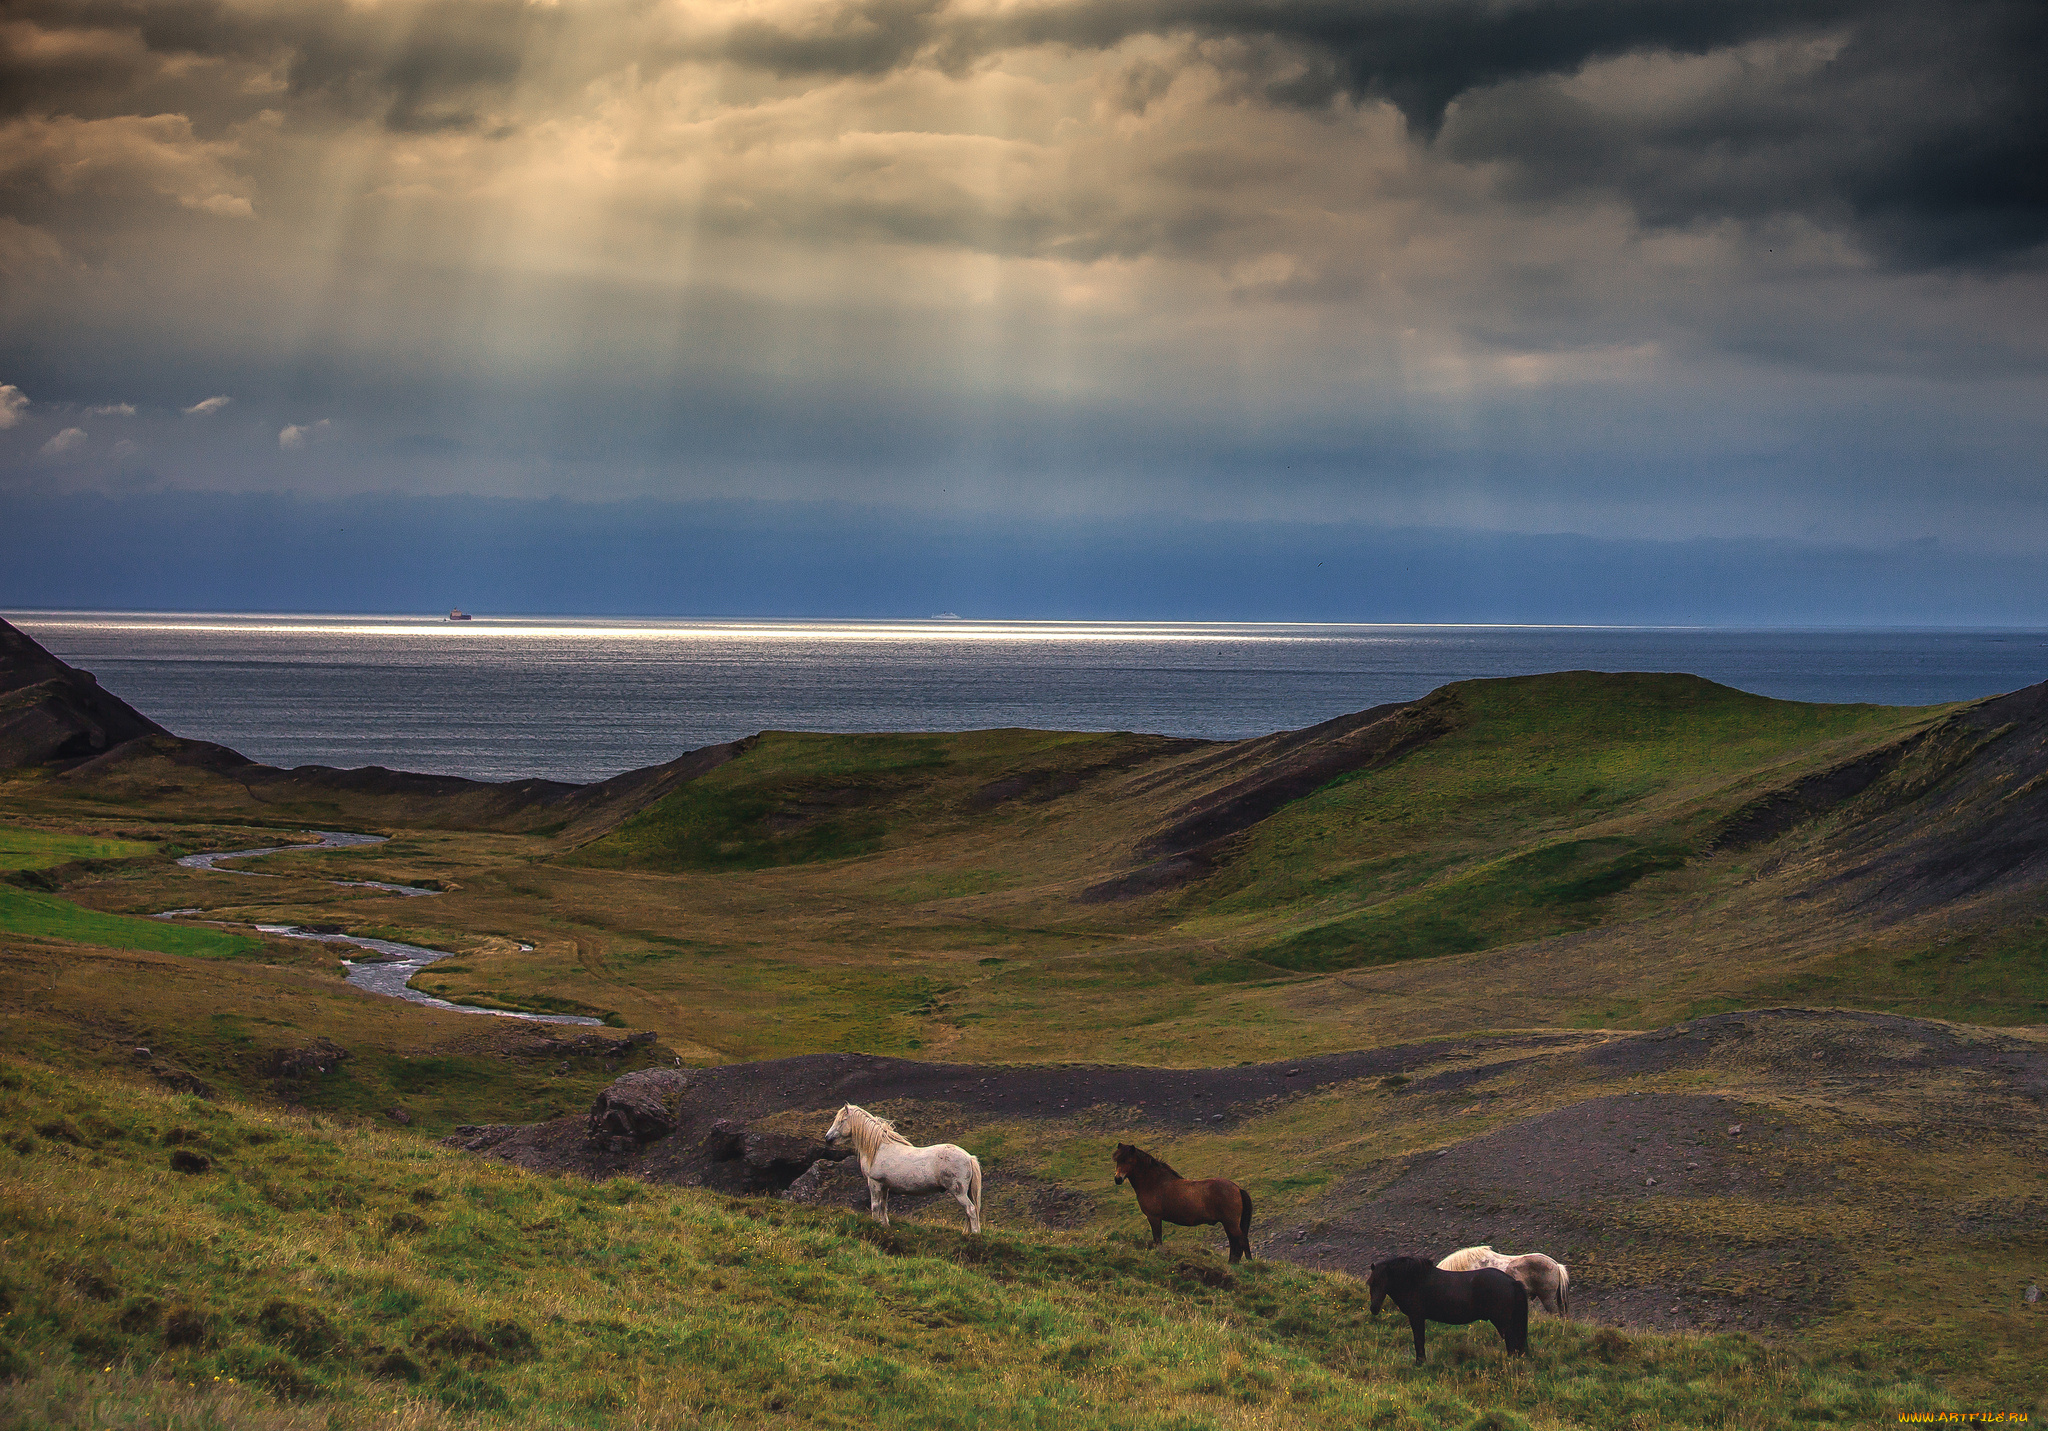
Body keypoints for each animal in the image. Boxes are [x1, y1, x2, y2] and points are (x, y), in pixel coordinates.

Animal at [823, 1105, 983, 1236]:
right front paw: (884, 1225)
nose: (827, 1138)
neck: (879, 1148)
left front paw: (874, 1224)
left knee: (971, 1210)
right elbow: (883, 1206)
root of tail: (969, 1157)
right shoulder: (884, 1186)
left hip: (959, 1192)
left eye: (841, 1121)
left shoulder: (874, 1183)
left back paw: (975, 1234)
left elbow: (875, 1206)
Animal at [1368, 1252, 1531, 1367]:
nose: (1374, 1308)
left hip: (1503, 1322)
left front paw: (1420, 1362)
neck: (1415, 1280)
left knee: (1512, 1342)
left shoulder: (1416, 1317)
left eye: (1383, 1282)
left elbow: (1419, 1340)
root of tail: (1512, 1282)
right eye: (1370, 1283)